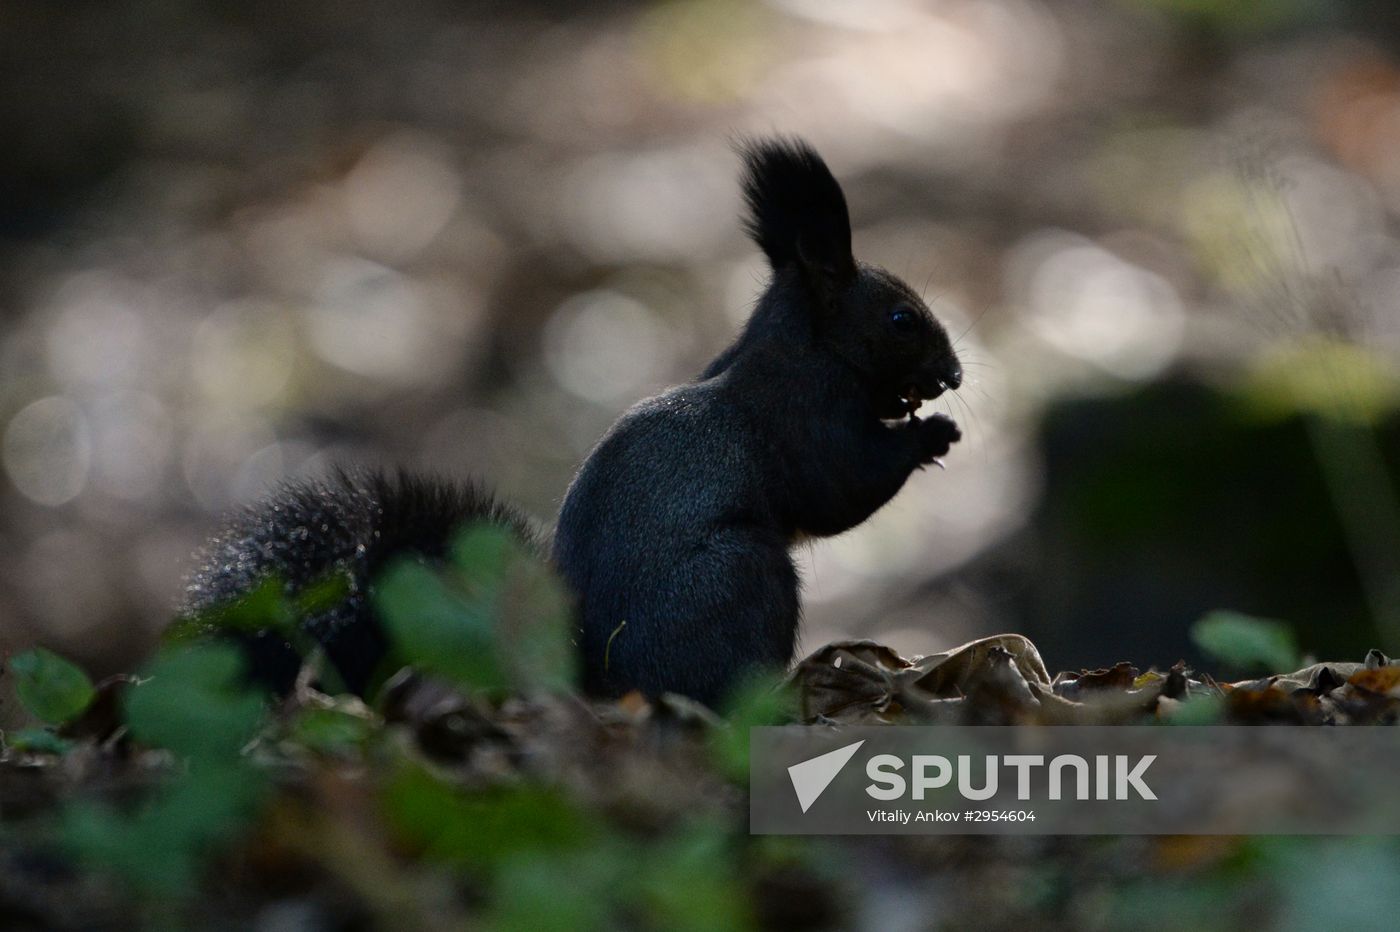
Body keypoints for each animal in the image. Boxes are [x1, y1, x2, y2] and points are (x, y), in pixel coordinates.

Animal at [182, 138, 963, 709]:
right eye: (902, 319)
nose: (954, 374)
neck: (795, 346)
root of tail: (595, 681)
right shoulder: (803, 419)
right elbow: (843, 488)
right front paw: (931, 434)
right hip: (743, 575)